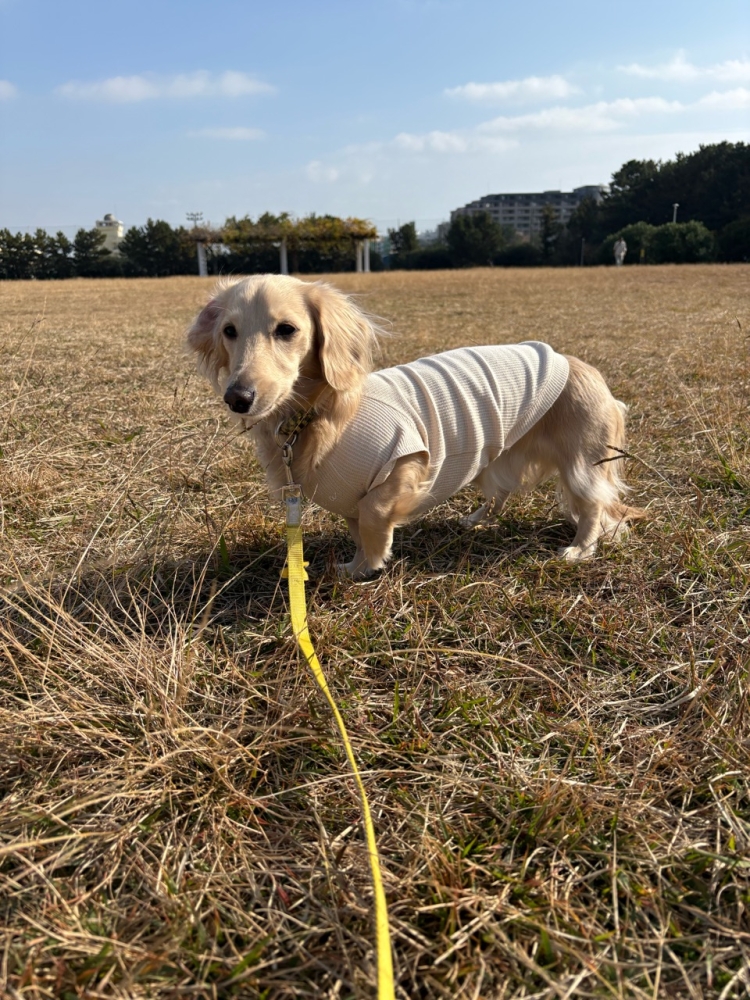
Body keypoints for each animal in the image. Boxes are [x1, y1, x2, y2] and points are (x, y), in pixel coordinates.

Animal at [186, 274, 642, 579]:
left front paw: (369, 563)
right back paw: (476, 519)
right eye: (229, 331)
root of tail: (584, 368)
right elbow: (357, 527)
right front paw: (357, 563)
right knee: (501, 493)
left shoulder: (404, 459)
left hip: (581, 465)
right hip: (498, 457)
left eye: (287, 329)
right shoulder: (350, 496)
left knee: (593, 507)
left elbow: (374, 517)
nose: (238, 398)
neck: (322, 412)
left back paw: (580, 549)